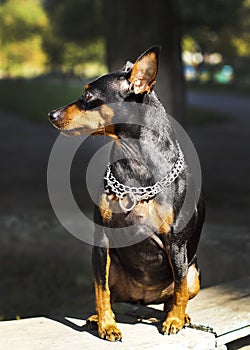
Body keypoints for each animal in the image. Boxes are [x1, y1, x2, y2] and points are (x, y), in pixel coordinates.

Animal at [48, 46, 203, 342]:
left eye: (88, 96)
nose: (52, 114)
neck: (135, 165)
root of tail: (144, 300)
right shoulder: (101, 241)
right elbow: (101, 291)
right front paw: (107, 325)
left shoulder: (176, 244)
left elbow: (178, 290)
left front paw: (174, 321)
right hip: (113, 267)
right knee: (110, 291)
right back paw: (96, 318)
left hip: (194, 273)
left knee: (175, 294)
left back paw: (179, 316)